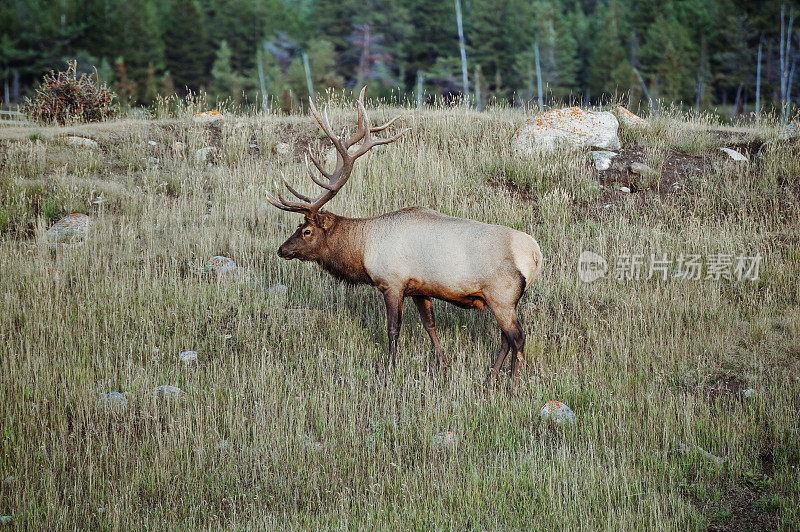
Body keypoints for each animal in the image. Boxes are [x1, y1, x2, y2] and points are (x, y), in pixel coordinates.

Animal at [270, 87, 544, 386]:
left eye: (306, 231)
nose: (282, 249)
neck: (363, 250)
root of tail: (535, 255)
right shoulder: (419, 289)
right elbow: (430, 325)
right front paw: (441, 364)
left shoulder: (392, 282)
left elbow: (393, 329)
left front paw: (389, 368)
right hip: (507, 300)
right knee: (506, 338)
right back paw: (490, 376)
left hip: (501, 295)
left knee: (517, 338)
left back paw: (513, 384)